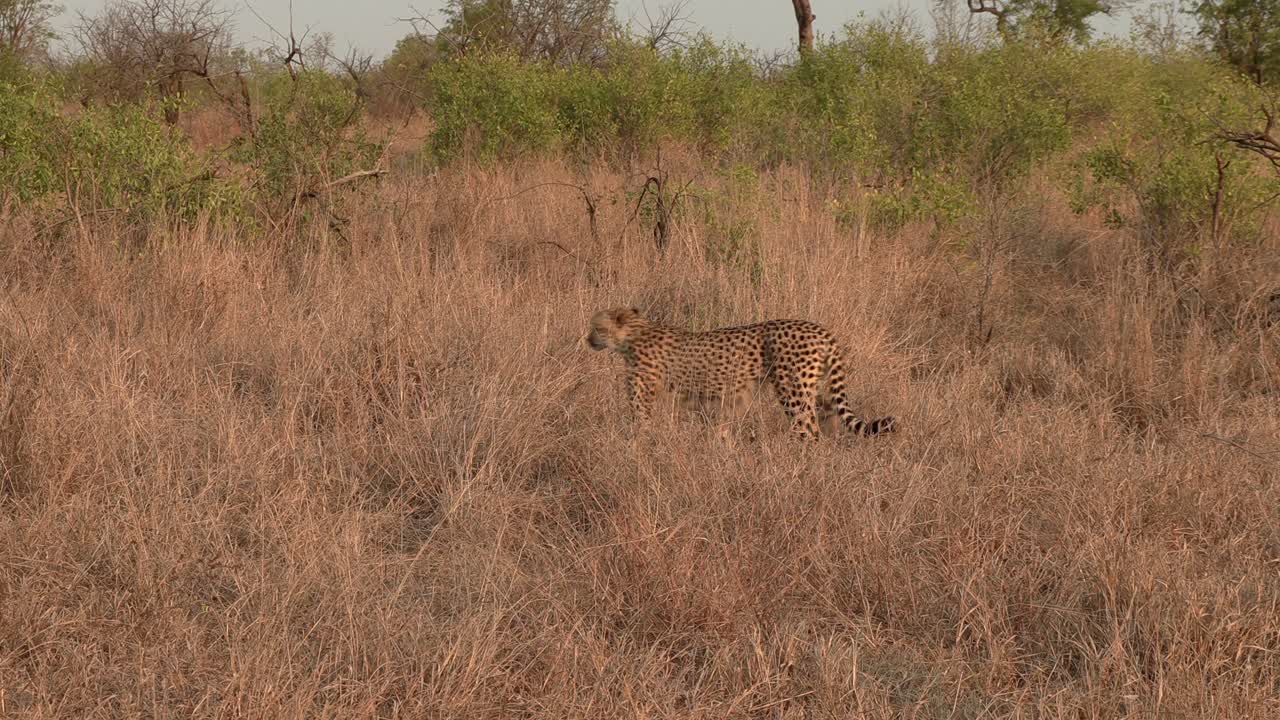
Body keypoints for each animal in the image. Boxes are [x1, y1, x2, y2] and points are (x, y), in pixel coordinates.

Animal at [586, 307, 897, 439]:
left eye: (596, 327)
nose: (587, 340)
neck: (633, 334)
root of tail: (822, 329)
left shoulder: (643, 400)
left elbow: (640, 427)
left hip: (793, 393)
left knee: (808, 430)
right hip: (816, 391)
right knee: (828, 417)